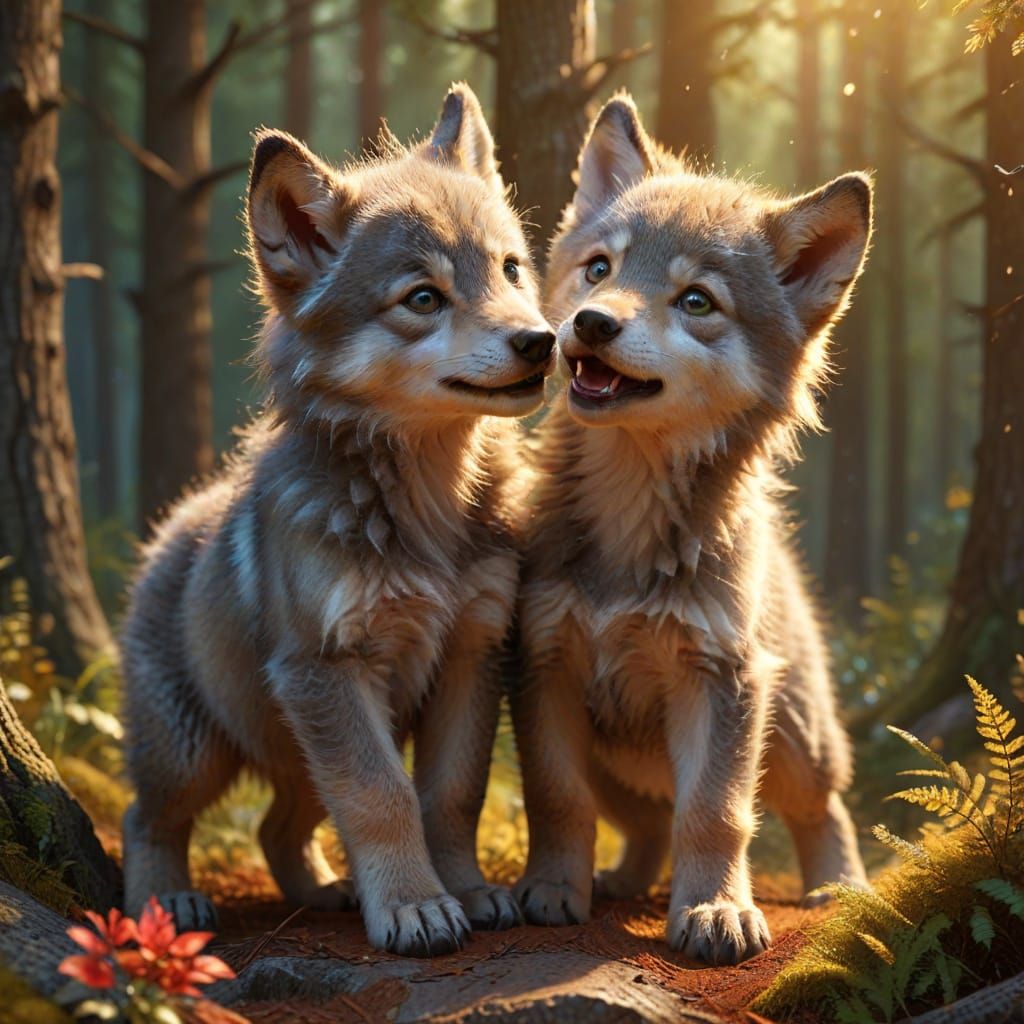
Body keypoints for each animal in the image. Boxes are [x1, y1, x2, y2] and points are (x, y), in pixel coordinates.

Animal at [120, 83, 555, 958]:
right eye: (422, 298)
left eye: (510, 269)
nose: (542, 341)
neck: (426, 506)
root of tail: (172, 522)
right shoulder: (328, 672)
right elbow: (383, 796)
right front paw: (416, 908)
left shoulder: (471, 653)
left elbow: (449, 794)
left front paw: (465, 891)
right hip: (193, 751)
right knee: (145, 817)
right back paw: (168, 904)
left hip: (294, 751)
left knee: (276, 828)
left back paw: (324, 891)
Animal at [512, 94, 871, 965]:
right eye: (600, 268)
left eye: (697, 301)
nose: (591, 323)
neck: (630, 515)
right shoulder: (545, 667)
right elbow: (557, 799)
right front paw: (553, 889)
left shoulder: (723, 680)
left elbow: (715, 814)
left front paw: (713, 910)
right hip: (621, 763)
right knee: (644, 823)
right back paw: (620, 882)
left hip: (795, 734)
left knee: (824, 808)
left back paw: (841, 887)